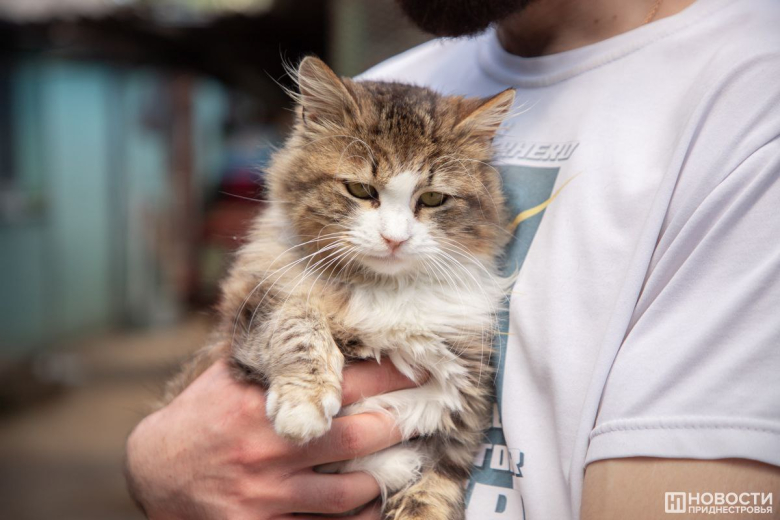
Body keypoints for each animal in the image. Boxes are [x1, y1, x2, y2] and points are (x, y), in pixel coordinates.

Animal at [163, 56, 515, 520]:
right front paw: (305, 405)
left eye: (433, 199)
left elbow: (433, 489)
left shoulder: (461, 403)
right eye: (361, 190)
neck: (384, 289)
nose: (394, 239)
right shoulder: (248, 315)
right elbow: (298, 320)